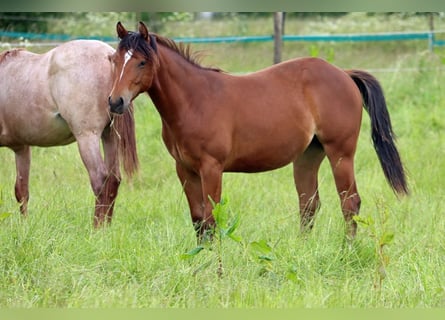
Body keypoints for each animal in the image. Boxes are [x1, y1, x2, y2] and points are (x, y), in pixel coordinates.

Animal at [0, 38, 138, 226]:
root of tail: (109, 55)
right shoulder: (21, 148)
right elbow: (22, 191)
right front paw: (24, 226)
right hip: (109, 136)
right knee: (113, 179)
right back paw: (106, 227)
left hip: (87, 137)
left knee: (100, 178)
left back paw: (97, 228)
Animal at [107, 21, 406, 239]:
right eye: (114, 60)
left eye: (142, 62)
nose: (115, 101)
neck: (194, 100)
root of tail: (344, 74)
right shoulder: (185, 169)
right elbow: (198, 220)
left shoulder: (211, 168)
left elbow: (212, 217)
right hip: (308, 155)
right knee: (309, 204)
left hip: (340, 153)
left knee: (350, 203)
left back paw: (348, 250)